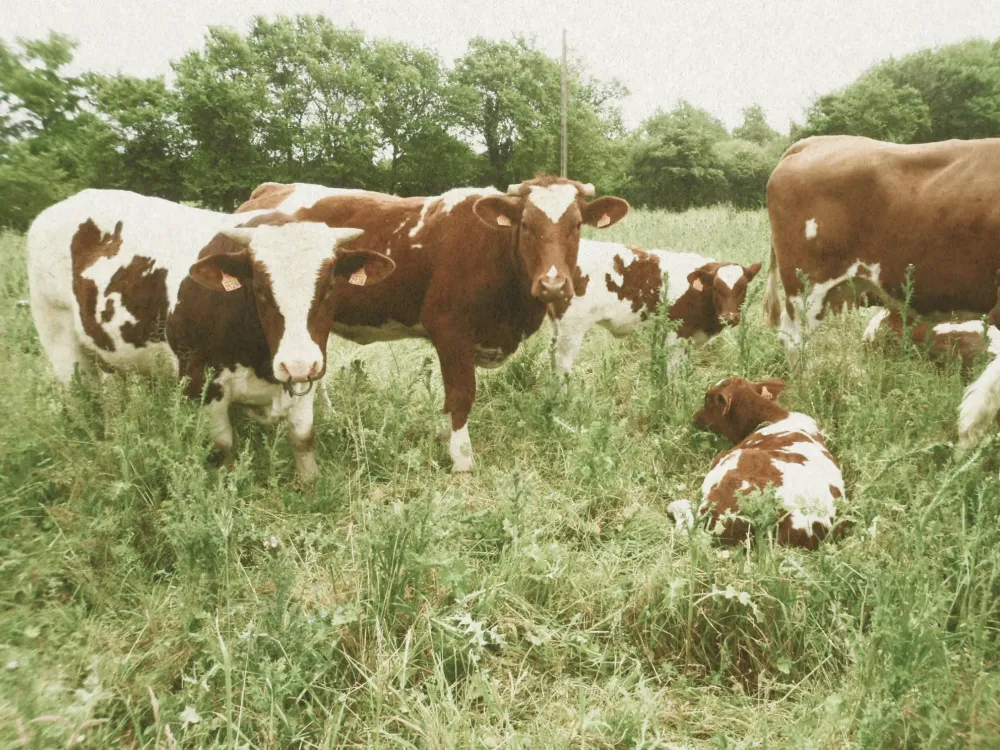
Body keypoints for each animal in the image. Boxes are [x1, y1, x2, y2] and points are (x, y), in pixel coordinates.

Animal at [26, 189, 394, 480]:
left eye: (329, 287)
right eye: (260, 289)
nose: (296, 365)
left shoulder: (311, 375)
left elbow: (303, 438)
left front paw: (309, 485)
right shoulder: (201, 381)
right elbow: (223, 446)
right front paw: (229, 485)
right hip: (59, 340)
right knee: (81, 400)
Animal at [235, 177, 630, 472]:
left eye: (576, 226)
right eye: (526, 225)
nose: (553, 284)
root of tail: (268, 189)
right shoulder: (450, 330)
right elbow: (461, 394)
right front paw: (461, 457)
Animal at [548, 239, 761, 380]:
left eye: (743, 287)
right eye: (716, 288)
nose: (730, 317)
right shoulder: (677, 332)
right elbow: (673, 371)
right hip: (572, 327)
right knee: (562, 364)